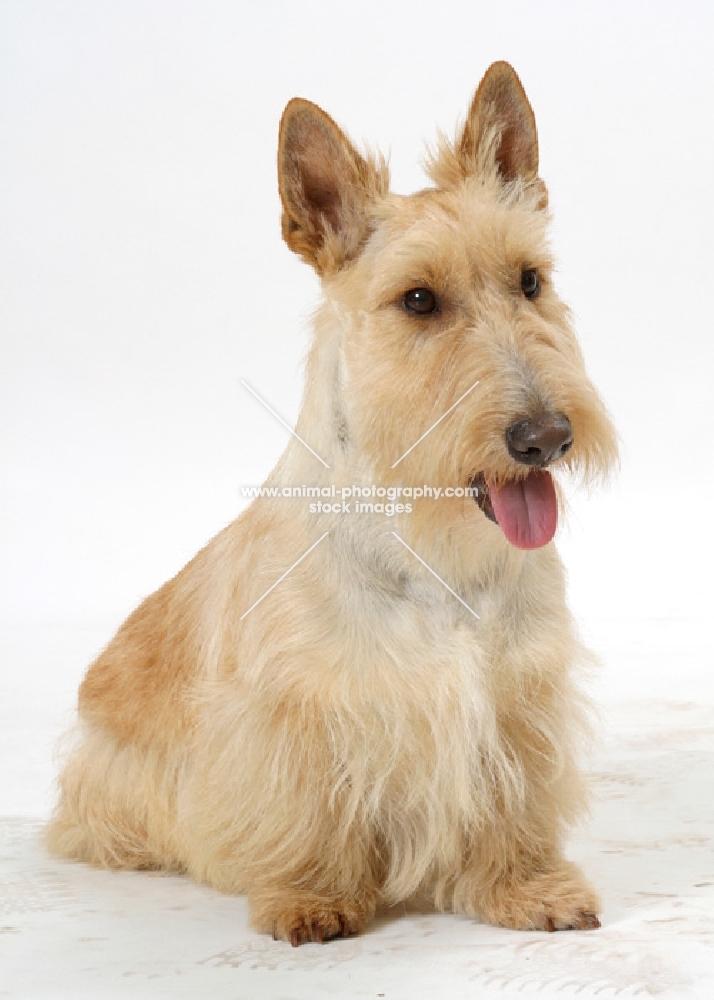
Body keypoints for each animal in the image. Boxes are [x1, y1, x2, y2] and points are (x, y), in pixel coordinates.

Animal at [46, 60, 612, 944]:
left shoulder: (517, 694)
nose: (546, 437)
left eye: (531, 281)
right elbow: (307, 811)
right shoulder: (297, 709)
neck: (427, 547)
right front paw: (309, 897)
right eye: (418, 300)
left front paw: (528, 885)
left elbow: (511, 801)